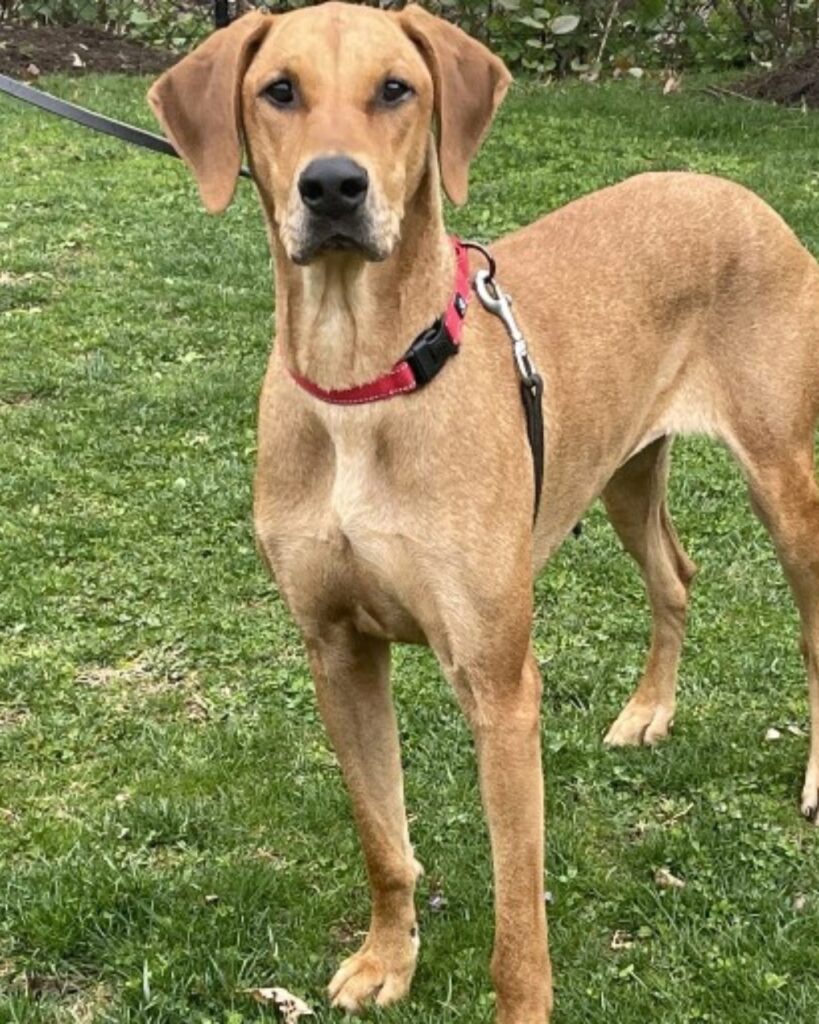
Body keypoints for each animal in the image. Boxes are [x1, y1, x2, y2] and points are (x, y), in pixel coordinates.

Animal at [150, 4, 818, 1019]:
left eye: (396, 88)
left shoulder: (499, 685)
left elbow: (517, 921)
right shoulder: (338, 649)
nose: (333, 186)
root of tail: (737, 193)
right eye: (279, 91)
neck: (365, 379)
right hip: (621, 469)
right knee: (674, 573)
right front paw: (387, 957)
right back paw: (647, 711)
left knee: (812, 625)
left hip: (783, 485)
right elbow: (383, 839)